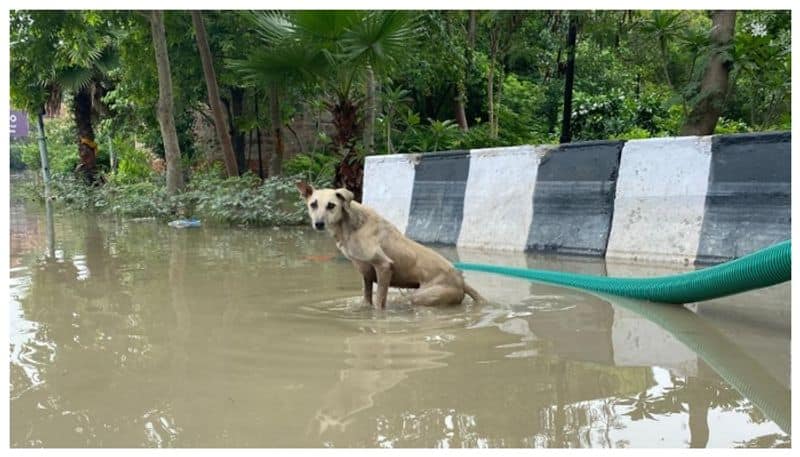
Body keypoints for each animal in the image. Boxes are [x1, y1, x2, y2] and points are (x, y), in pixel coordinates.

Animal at [296, 180, 484, 308]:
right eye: (313, 204)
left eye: (331, 205)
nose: (319, 224)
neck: (351, 225)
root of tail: (461, 280)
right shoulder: (366, 273)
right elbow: (367, 299)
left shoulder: (384, 266)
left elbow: (379, 302)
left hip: (421, 296)